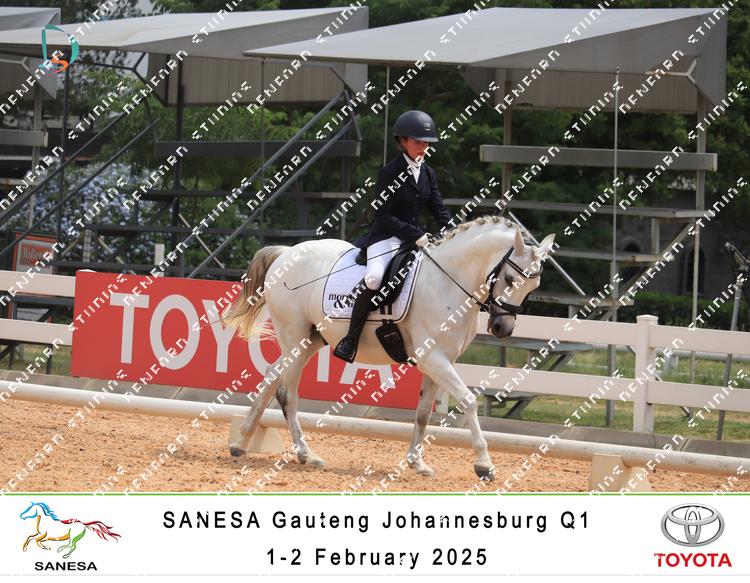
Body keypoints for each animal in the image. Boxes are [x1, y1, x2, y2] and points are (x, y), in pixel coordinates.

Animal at [221, 215, 555, 480]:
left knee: (274, 379)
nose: (503, 329)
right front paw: (484, 465)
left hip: (309, 340)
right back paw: (293, 452)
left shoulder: (438, 362)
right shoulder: (433, 358)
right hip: (294, 335)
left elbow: (423, 414)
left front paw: (417, 463)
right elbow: (469, 401)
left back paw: (253, 444)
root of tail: (287, 252)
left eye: (534, 287)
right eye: (509, 277)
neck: (448, 282)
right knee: (284, 391)